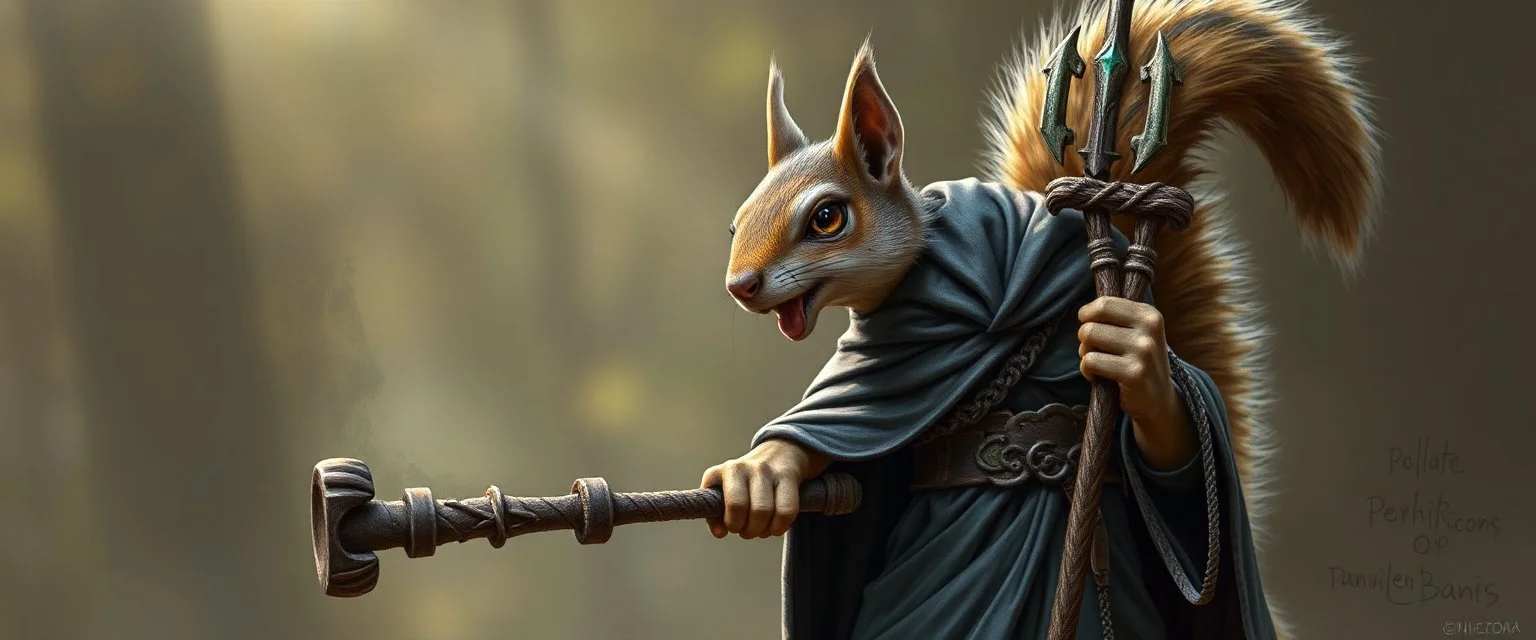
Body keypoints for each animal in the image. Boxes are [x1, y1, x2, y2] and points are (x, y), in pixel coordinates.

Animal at [703, 1, 1379, 633]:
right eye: (736, 224)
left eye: (827, 218)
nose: (740, 286)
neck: (935, 271)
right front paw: (759, 475)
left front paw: (1132, 351)